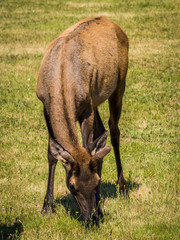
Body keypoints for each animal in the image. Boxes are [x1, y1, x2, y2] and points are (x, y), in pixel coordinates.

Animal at [35, 15, 129, 224]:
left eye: (97, 182)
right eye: (72, 186)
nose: (92, 217)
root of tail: (112, 22)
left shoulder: (86, 108)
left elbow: (87, 144)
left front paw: (100, 204)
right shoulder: (45, 106)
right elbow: (52, 152)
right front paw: (46, 207)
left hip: (119, 83)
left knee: (114, 131)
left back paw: (123, 186)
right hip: (97, 98)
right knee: (102, 132)